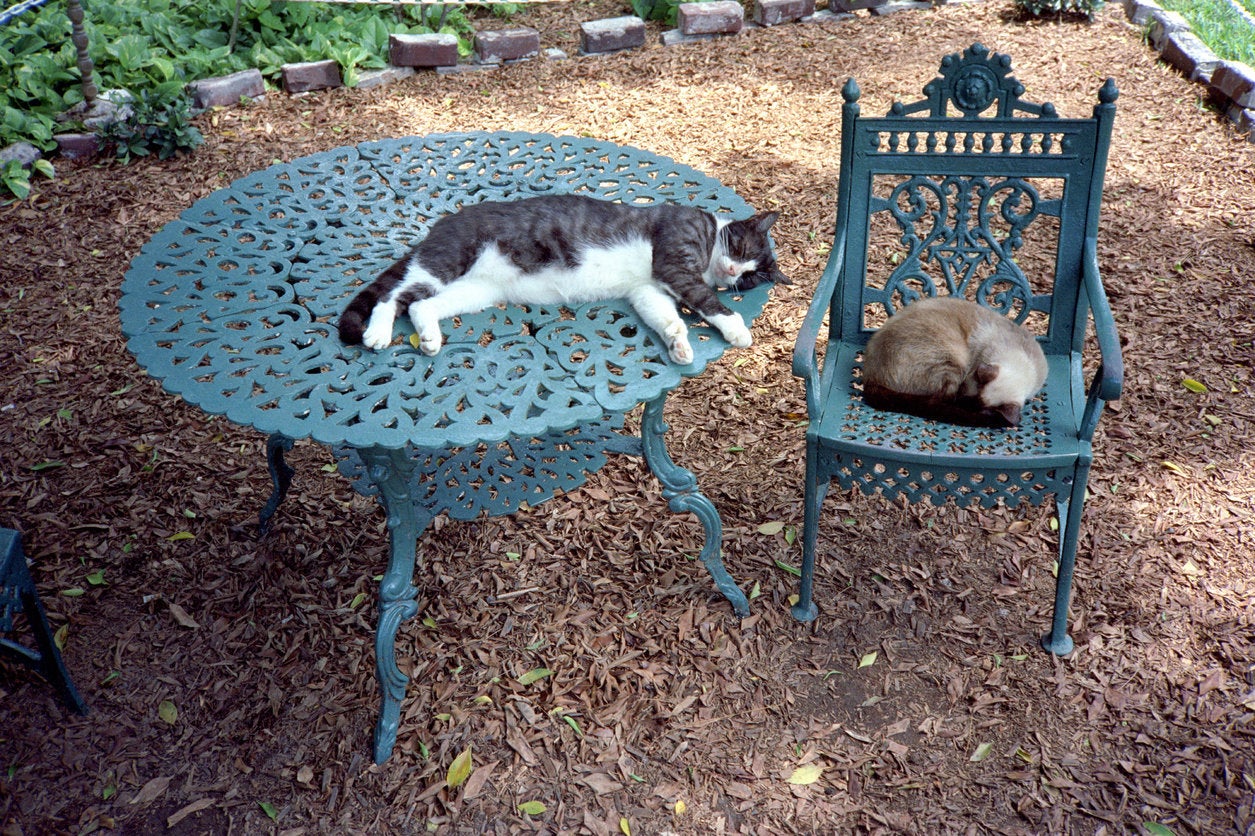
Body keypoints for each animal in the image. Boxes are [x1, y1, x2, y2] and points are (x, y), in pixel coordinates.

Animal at [336, 197, 783, 366]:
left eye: (753, 277)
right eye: (742, 248)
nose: (734, 273)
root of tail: (441, 224)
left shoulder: (648, 290)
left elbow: (666, 317)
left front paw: (678, 344)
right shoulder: (673, 264)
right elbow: (707, 300)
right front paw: (737, 329)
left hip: (477, 291)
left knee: (420, 304)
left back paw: (429, 337)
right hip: (445, 261)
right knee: (393, 296)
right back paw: (377, 333)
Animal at [863, 296, 1049, 426]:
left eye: (970, 403)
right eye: (965, 396)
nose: (961, 403)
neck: (1023, 363)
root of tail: (869, 378)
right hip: (954, 360)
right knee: (939, 399)